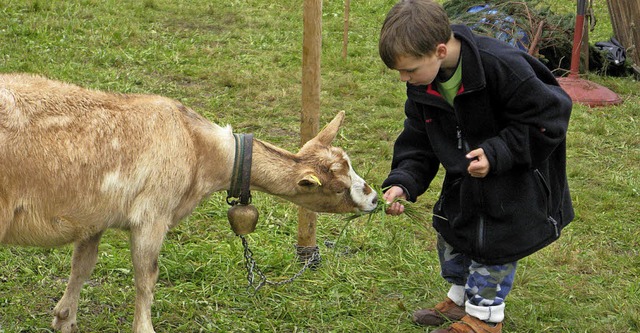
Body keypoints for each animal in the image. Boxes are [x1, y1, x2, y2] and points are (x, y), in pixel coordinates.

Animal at [0, 73, 378, 332]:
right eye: (338, 186)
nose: (374, 198)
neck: (199, 148)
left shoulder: (94, 217)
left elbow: (82, 266)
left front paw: (64, 318)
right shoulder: (153, 213)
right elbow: (146, 276)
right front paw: (144, 328)